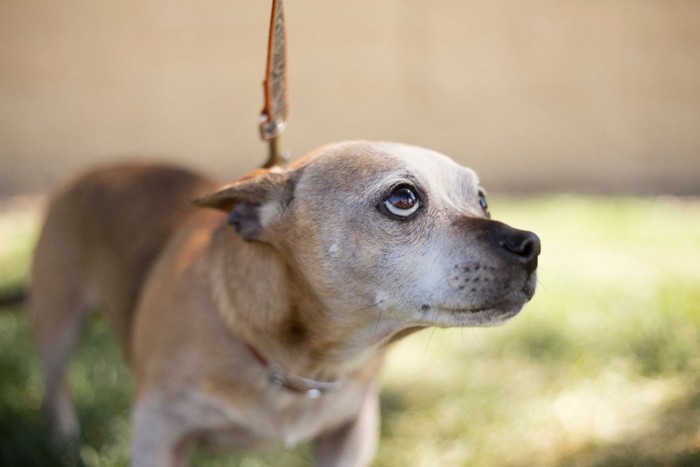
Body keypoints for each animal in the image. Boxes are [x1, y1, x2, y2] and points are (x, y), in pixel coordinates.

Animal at [28, 141, 540, 466]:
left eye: (482, 200)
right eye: (403, 198)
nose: (530, 244)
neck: (302, 362)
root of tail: (97, 168)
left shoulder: (350, 437)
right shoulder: (159, 433)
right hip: (58, 323)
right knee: (54, 382)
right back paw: (63, 438)